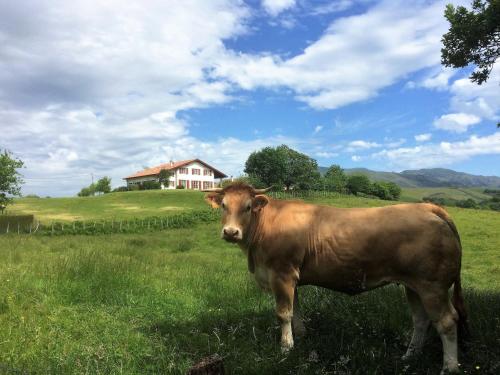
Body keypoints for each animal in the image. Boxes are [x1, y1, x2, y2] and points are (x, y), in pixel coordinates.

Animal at [203, 184, 468, 374]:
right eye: (224, 205)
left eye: (248, 207)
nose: (230, 232)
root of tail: (428, 208)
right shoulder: (291, 278)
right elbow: (296, 310)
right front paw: (301, 336)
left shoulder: (282, 274)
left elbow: (283, 313)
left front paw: (286, 347)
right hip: (413, 285)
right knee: (421, 320)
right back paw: (409, 356)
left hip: (433, 286)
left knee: (446, 321)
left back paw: (449, 368)